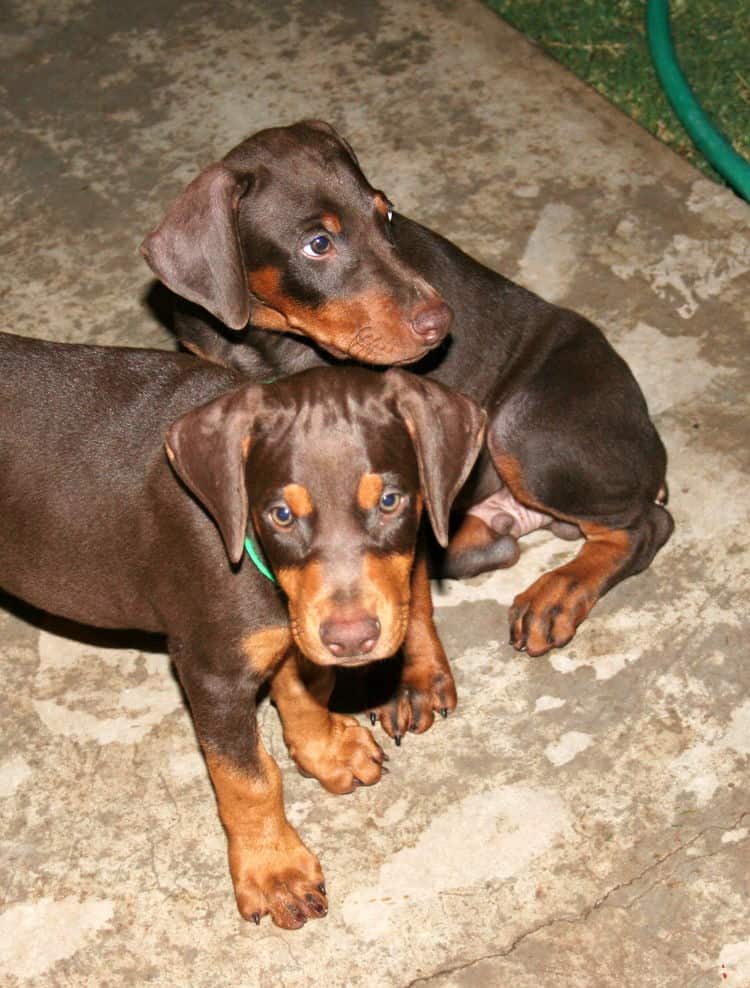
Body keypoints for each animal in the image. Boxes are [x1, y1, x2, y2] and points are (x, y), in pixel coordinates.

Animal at [0, 332, 484, 928]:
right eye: (281, 515)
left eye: (391, 501)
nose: (351, 640)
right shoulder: (211, 672)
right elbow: (247, 778)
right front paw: (275, 872)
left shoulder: (299, 626)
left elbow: (304, 688)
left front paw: (325, 750)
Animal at [141, 121, 676, 672]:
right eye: (318, 243)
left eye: (388, 214)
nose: (441, 322)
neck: (261, 339)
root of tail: (651, 448)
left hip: (524, 430)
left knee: (646, 526)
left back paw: (556, 595)